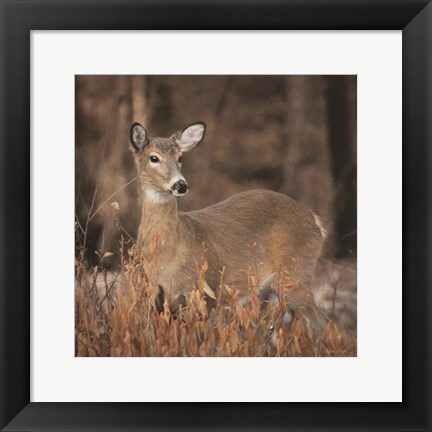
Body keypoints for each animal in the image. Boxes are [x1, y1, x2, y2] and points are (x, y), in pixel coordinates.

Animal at [130, 121, 330, 334]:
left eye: (180, 157)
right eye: (153, 158)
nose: (181, 185)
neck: (167, 253)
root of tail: (316, 221)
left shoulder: (202, 292)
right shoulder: (157, 300)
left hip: (295, 275)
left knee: (327, 325)